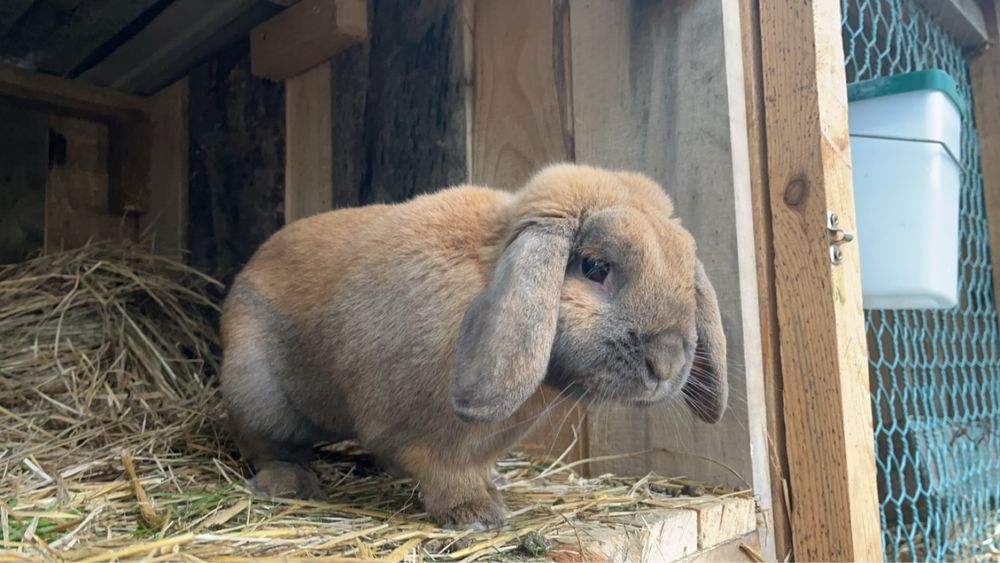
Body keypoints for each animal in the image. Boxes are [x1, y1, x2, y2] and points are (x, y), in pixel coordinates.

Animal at [219, 162, 728, 528]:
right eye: (595, 267)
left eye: (686, 278)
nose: (667, 362)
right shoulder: (429, 439)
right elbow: (444, 472)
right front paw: (475, 515)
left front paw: (493, 484)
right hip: (259, 395)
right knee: (271, 446)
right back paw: (290, 485)